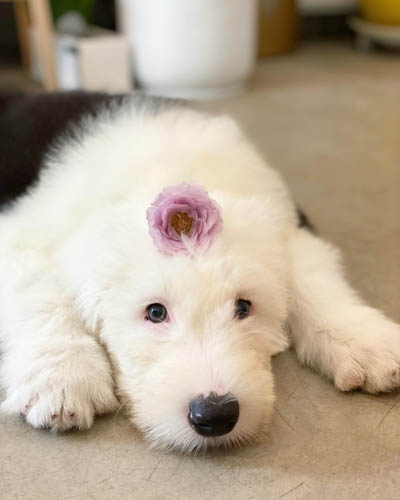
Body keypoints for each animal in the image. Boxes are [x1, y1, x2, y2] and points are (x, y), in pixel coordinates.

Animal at [0, 92, 400, 452]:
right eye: (155, 312)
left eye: (243, 306)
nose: (215, 414)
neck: (169, 168)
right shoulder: (26, 229)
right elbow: (39, 290)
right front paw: (63, 376)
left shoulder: (288, 222)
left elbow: (311, 274)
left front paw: (364, 341)